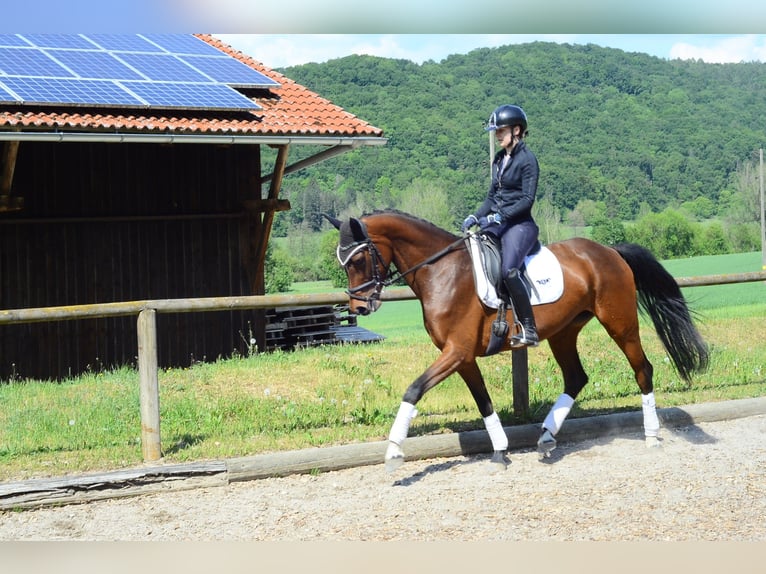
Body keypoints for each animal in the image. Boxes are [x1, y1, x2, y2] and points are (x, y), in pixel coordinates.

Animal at [325, 210, 709, 472]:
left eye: (358, 259)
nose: (359, 306)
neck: (442, 272)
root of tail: (609, 251)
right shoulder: (463, 357)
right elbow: (483, 402)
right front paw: (500, 449)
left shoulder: (455, 352)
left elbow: (414, 390)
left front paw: (393, 452)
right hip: (564, 332)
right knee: (576, 377)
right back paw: (547, 436)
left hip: (621, 324)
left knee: (643, 369)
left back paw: (652, 436)